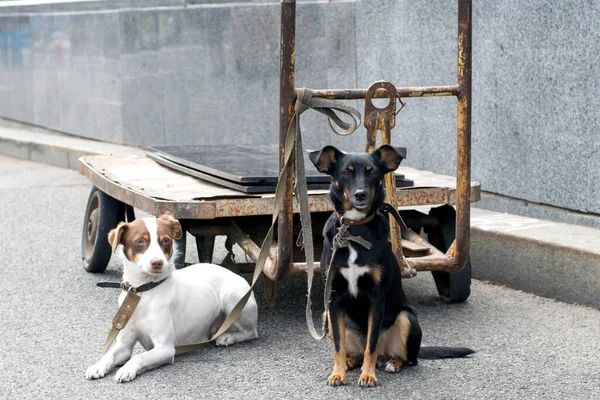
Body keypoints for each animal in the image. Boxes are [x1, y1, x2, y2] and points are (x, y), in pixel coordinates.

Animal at [86, 214, 258, 382]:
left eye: (166, 241)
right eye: (140, 241)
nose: (157, 262)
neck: (143, 292)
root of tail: (234, 273)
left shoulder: (166, 348)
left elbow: (139, 357)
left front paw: (127, 369)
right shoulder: (124, 344)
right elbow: (109, 354)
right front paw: (98, 366)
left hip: (232, 298)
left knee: (252, 332)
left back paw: (228, 337)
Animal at [310, 145, 474, 388]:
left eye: (373, 172)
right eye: (346, 172)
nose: (361, 194)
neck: (355, 230)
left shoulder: (376, 298)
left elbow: (371, 344)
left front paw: (368, 376)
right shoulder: (333, 297)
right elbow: (338, 346)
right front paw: (337, 373)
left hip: (407, 318)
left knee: (404, 357)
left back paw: (391, 363)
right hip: (327, 318)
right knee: (354, 351)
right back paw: (350, 361)